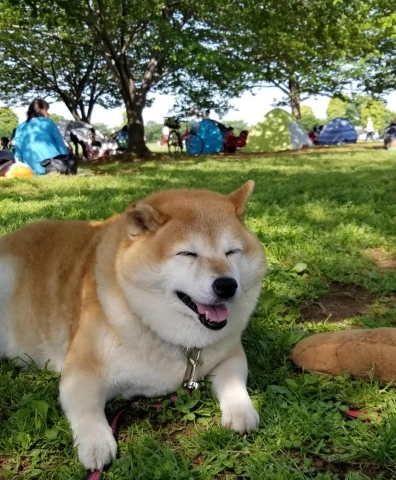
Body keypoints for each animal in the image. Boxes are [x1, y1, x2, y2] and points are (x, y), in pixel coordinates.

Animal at [0, 180, 268, 468]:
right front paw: (96, 443)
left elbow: (234, 381)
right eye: (187, 253)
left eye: (232, 252)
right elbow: (86, 410)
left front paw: (241, 411)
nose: (227, 285)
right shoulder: (81, 373)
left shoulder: (229, 354)